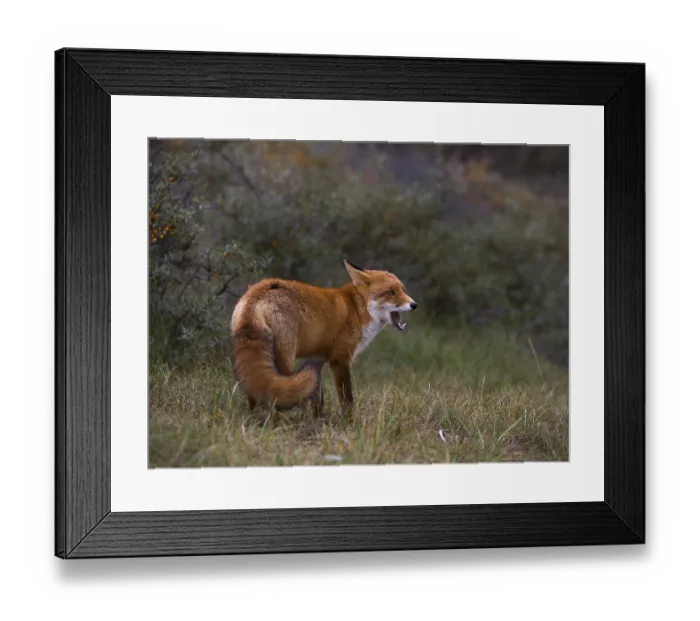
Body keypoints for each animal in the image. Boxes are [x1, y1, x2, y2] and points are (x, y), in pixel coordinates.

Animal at [230, 259, 417, 419]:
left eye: (403, 290)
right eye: (391, 292)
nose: (414, 305)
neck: (357, 310)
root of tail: (257, 291)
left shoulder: (317, 359)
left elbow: (318, 400)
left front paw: (319, 420)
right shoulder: (340, 360)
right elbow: (347, 400)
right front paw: (349, 423)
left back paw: (255, 419)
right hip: (286, 359)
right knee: (277, 396)